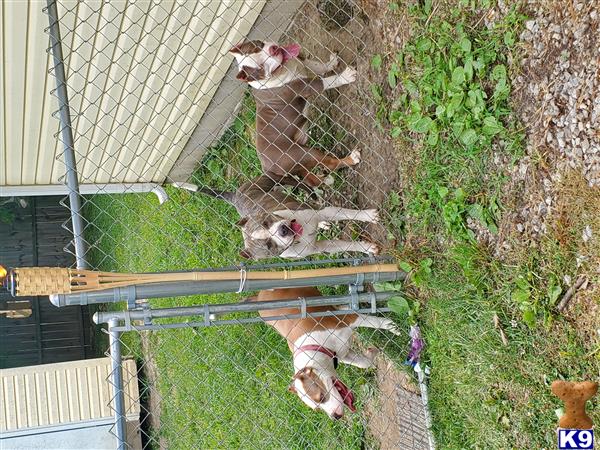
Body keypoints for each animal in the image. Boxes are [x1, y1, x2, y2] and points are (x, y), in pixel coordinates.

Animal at [195, 176, 378, 260]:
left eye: (266, 222)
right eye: (269, 246)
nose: (282, 230)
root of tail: (235, 196)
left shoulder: (320, 211)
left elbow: (346, 212)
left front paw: (368, 215)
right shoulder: (321, 247)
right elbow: (344, 245)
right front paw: (367, 248)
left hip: (274, 180)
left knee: (298, 183)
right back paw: (323, 224)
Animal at [230, 38, 360, 186]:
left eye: (258, 46)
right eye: (260, 67)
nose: (273, 50)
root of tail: (267, 169)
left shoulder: (303, 62)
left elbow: (319, 66)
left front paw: (331, 63)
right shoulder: (307, 86)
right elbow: (327, 81)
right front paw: (344, 77)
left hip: (300, 157)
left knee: (310, 177)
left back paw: (325, 180)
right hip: (301, 153)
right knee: (329, 163)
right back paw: (351, 159)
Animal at [254, 286, 404, 420]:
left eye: (321, 397)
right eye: (317, 409)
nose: (335, 417)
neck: (315, 346)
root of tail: (258, 295)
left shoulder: (347, 320)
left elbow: (374, 322)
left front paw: (392, 327)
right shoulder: (343, 355)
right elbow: (363, 363)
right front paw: (371, 354)